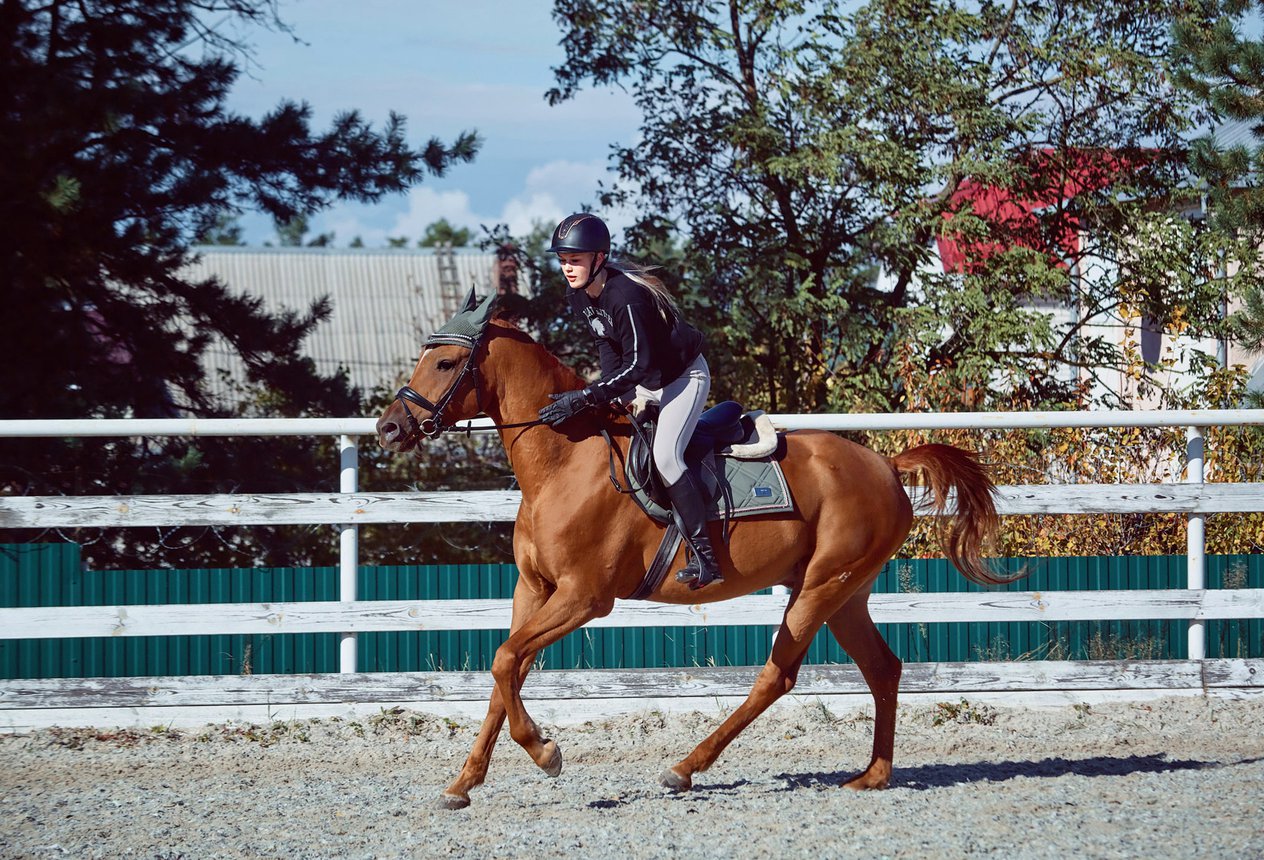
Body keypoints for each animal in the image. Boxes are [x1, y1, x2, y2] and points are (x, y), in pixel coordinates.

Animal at [374, 292, 1006, 809]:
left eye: (446, 363)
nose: (388, 429)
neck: (562, 462)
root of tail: (886, 465)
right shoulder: (534, 591)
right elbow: (504, 674)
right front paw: (463, 783)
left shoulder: (584, 598)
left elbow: (506, 660)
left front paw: (546, 753)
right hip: (845, 593)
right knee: (882, 669)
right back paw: (872, 776)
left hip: (822, 586)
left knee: (778, 676)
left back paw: (684, 768)